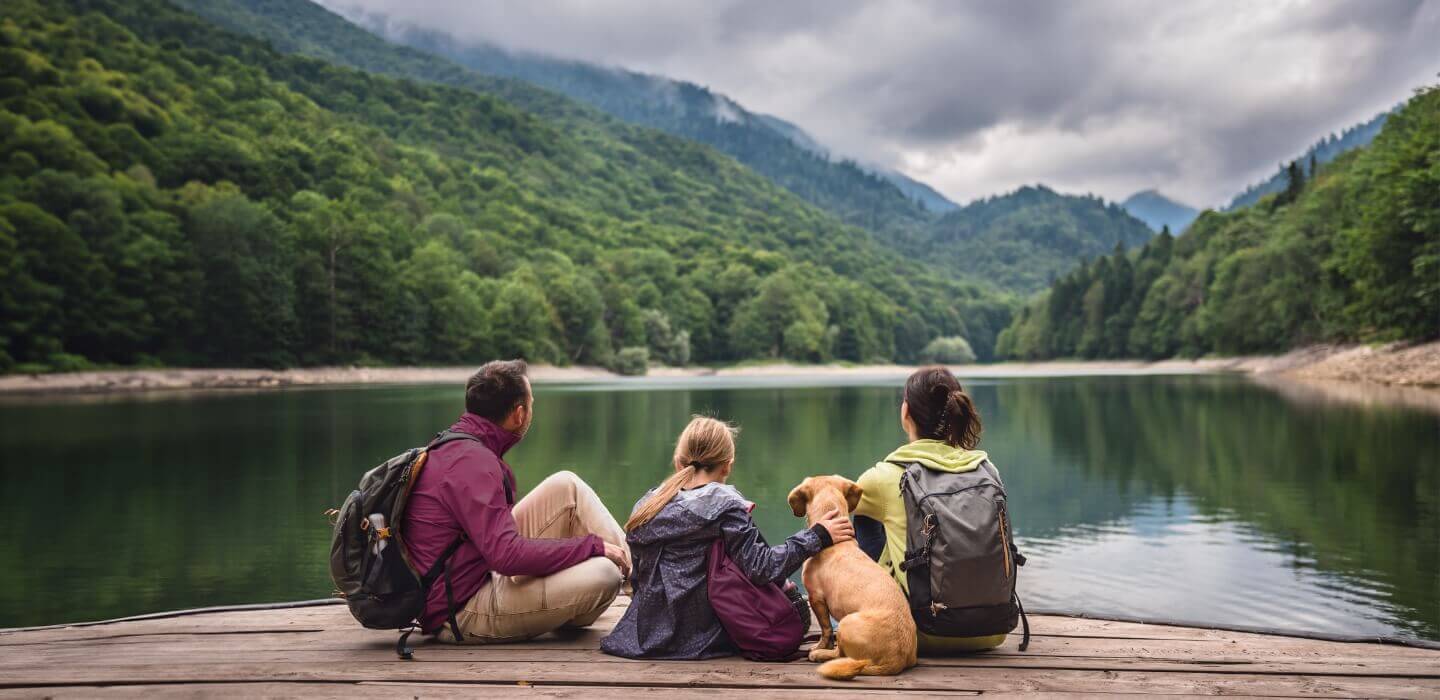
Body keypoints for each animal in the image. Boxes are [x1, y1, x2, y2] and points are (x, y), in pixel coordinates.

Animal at [789, 475, 910, 676]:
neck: (836, 542)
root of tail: (895, 660)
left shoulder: (816, 598)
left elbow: (826, 629)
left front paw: (819, 646)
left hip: (846, 623)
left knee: (839, 653)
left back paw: (819, 654)